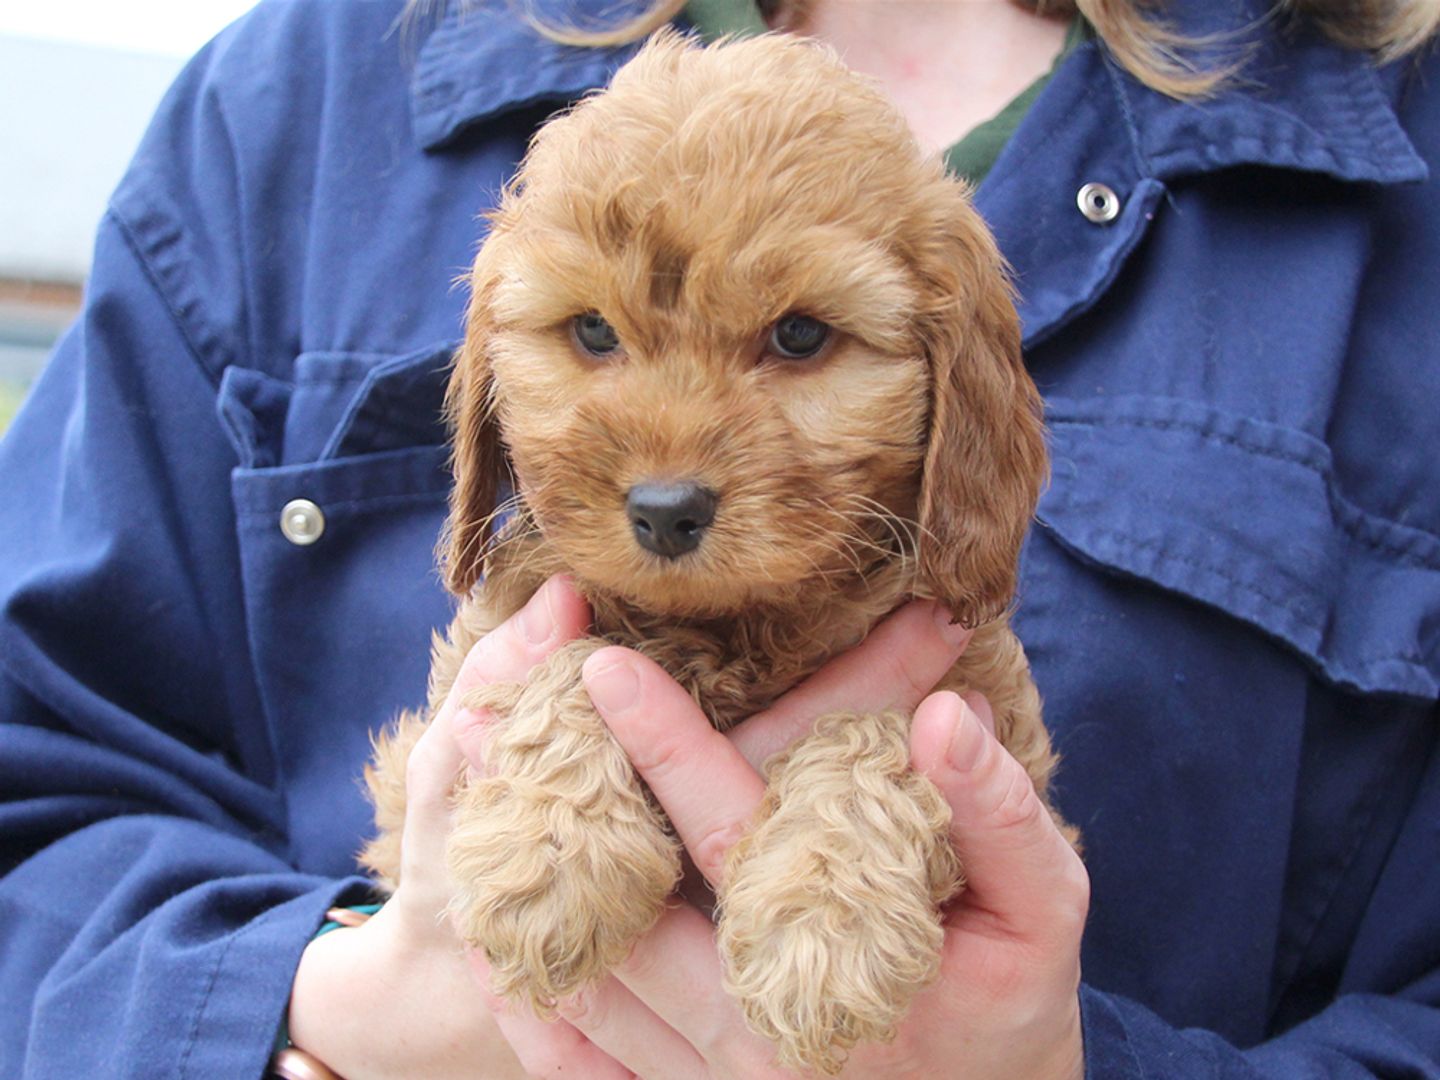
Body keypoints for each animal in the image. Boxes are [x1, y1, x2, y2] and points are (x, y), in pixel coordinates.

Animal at [365, 29, 1071, 1077]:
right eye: (592, 330)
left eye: (801, 335)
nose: (665, 511)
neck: (731, 631)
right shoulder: (470, 675)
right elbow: (580, 658)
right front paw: (551, 859)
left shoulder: (993, 720)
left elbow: (879, 725)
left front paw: (826, 923)